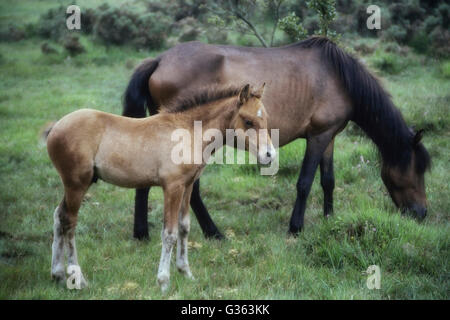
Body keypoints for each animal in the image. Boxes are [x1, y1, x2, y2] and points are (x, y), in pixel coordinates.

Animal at [45, 84, 274, 292]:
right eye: (248, 120)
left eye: (266, 118)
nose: (269, 155)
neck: (188, 131)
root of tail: (55, 127)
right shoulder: (172, 187)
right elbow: (169, 233)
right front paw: (163, 281)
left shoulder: (187, 186)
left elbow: (184, 228)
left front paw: (186, 273)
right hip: (77, 184)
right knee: (69, 223)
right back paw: (78, 280)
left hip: (75, 185)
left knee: (58, 216)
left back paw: (57, 274)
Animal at [121, 36, 430, 239]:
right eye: (417, 170)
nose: (421, 213)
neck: (339, 77)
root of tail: (159, 60)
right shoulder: (317, 137)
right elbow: (305, 183)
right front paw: (295, 227)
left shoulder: (329, 136)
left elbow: (328, 181)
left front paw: (329, 218)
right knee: (191, 189)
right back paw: (212, 232)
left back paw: (142, 233)